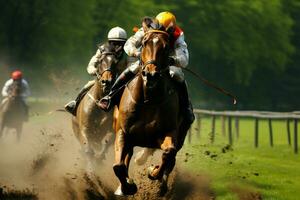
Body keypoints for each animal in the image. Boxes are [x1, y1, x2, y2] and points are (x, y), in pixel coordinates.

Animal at [112, 22, 190, 195]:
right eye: (144, 42)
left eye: (166, 47)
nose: (151, 74)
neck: (148, 100)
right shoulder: (123, 131)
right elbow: (118, 166)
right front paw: (127, 187)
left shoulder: (168, 132)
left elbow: (168, 153)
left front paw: (153, 172)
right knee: (126, 158)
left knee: (171, 158)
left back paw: (162, 185)